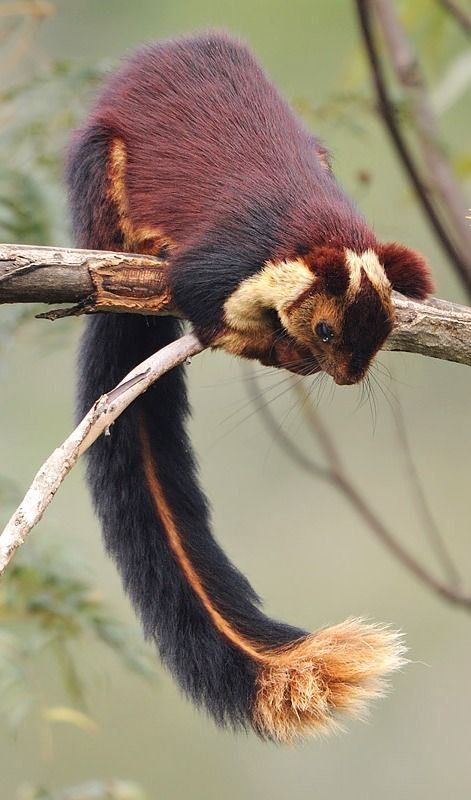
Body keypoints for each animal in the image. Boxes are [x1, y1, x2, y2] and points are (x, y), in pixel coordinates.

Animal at [67, 31, 436, 744]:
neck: (315, 230)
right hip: (100, 174)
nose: (346, 377)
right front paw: (278, 349)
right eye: (325, 329)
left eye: (382, 335)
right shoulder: (221, 267)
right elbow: (214, 316)